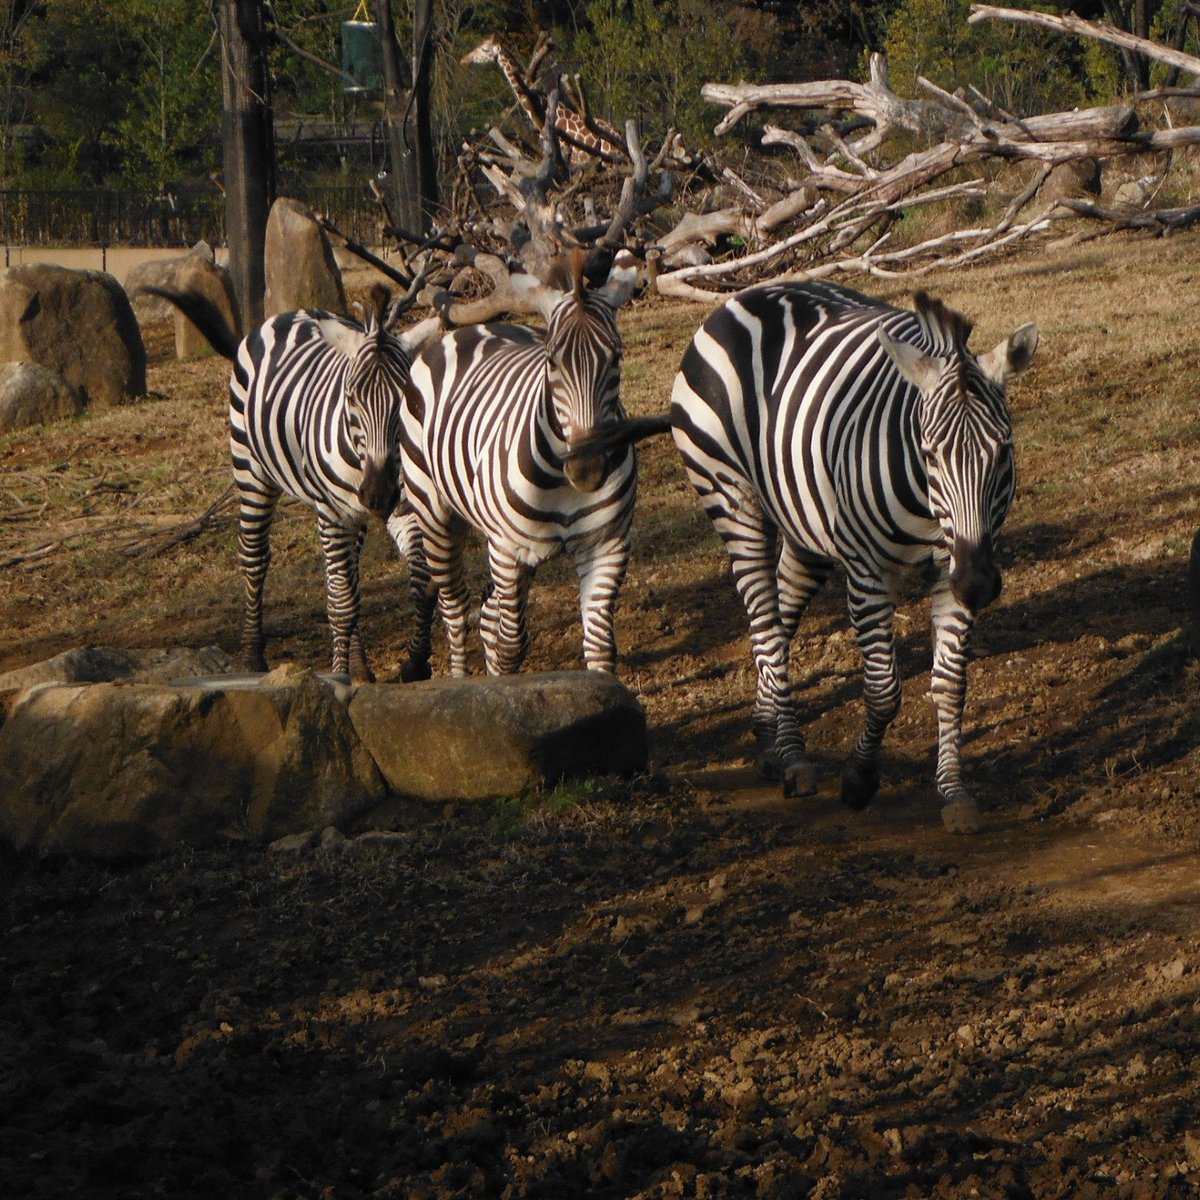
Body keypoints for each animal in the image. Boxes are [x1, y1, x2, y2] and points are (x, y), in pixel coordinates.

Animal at [143, 274, 439, 681]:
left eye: (406, 399)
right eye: (351, 398)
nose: (378, 495)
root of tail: (287, 314)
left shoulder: (402, 504)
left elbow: (420, 582)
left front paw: (415, 662)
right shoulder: (333, 511)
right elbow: (342, 601)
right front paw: (339, 675)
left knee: (347, 576)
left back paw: (361, 664)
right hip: (251, 470)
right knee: (256, 558)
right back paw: (254, 657)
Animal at [400, 246, 648, 676]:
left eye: (616, 358)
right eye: (551, 362)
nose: (587, 471)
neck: (562, 484)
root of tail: (468, 329)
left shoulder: (608, 546)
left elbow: (600, 647)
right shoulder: (508, 550)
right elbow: (511, 645)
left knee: (485, 614)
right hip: (435, 512)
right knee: (455, 608)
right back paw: (460, 675)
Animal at [672, 283, 1036, 835]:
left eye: (1003, 452)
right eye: (929, 453)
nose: (978, 585)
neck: (928, 507)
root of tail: (749, 293)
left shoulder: (952, 564)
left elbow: (951, 684)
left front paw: (954, 793)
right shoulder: (867, 572)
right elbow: (884, 691)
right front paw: (859, 780)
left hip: (805, 524)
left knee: (782, 614)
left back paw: (770, 740)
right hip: (730, 499)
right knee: (765, 626)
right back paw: (794, 760)